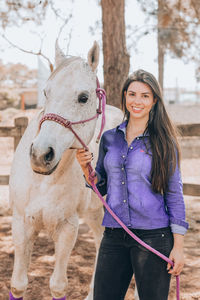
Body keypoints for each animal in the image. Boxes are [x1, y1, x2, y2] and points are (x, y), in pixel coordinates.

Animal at [8, 42, 130, 300]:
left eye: (83, 98)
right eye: (46, 93)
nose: (40, 155)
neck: (43, 180)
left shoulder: (67, 228)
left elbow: (58, 285)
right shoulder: (21, 223)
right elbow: (18, 284)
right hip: (96, 213)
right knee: (100, 242)